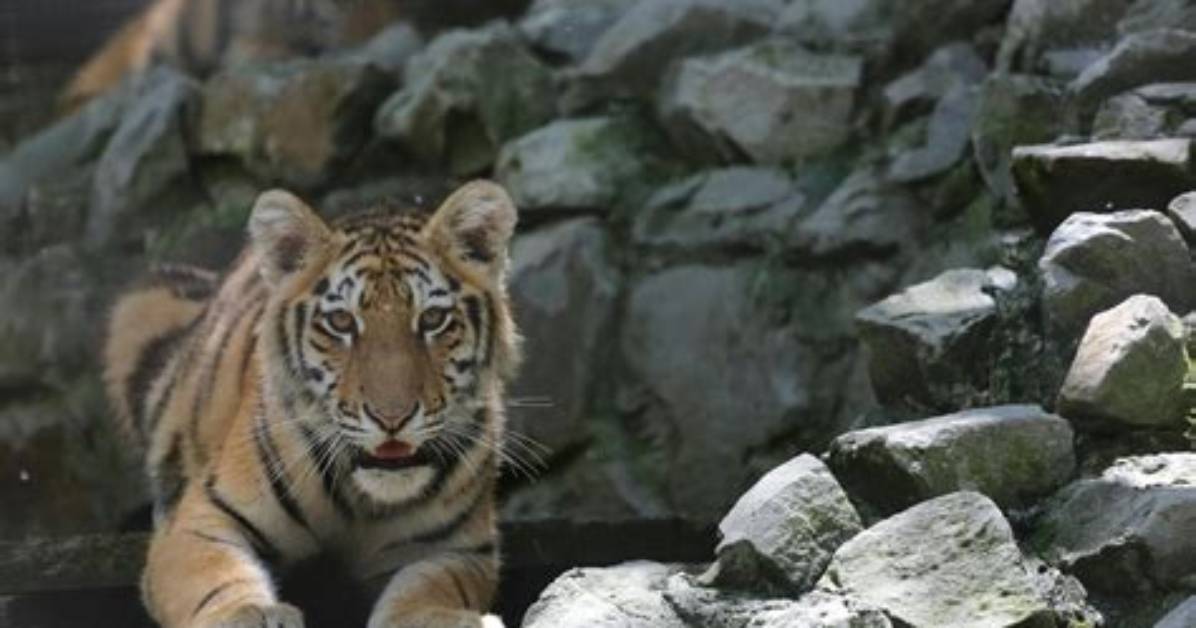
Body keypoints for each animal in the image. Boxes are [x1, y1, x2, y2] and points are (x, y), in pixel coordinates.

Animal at [102, 180, 520, 628]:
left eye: (432, 319)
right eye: (341, 322)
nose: (392, 417)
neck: (361, 501)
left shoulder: (453, 549)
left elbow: (430, 588)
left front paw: (436, 618)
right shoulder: (202, 520)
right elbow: (217, 577)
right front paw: (251, 613)